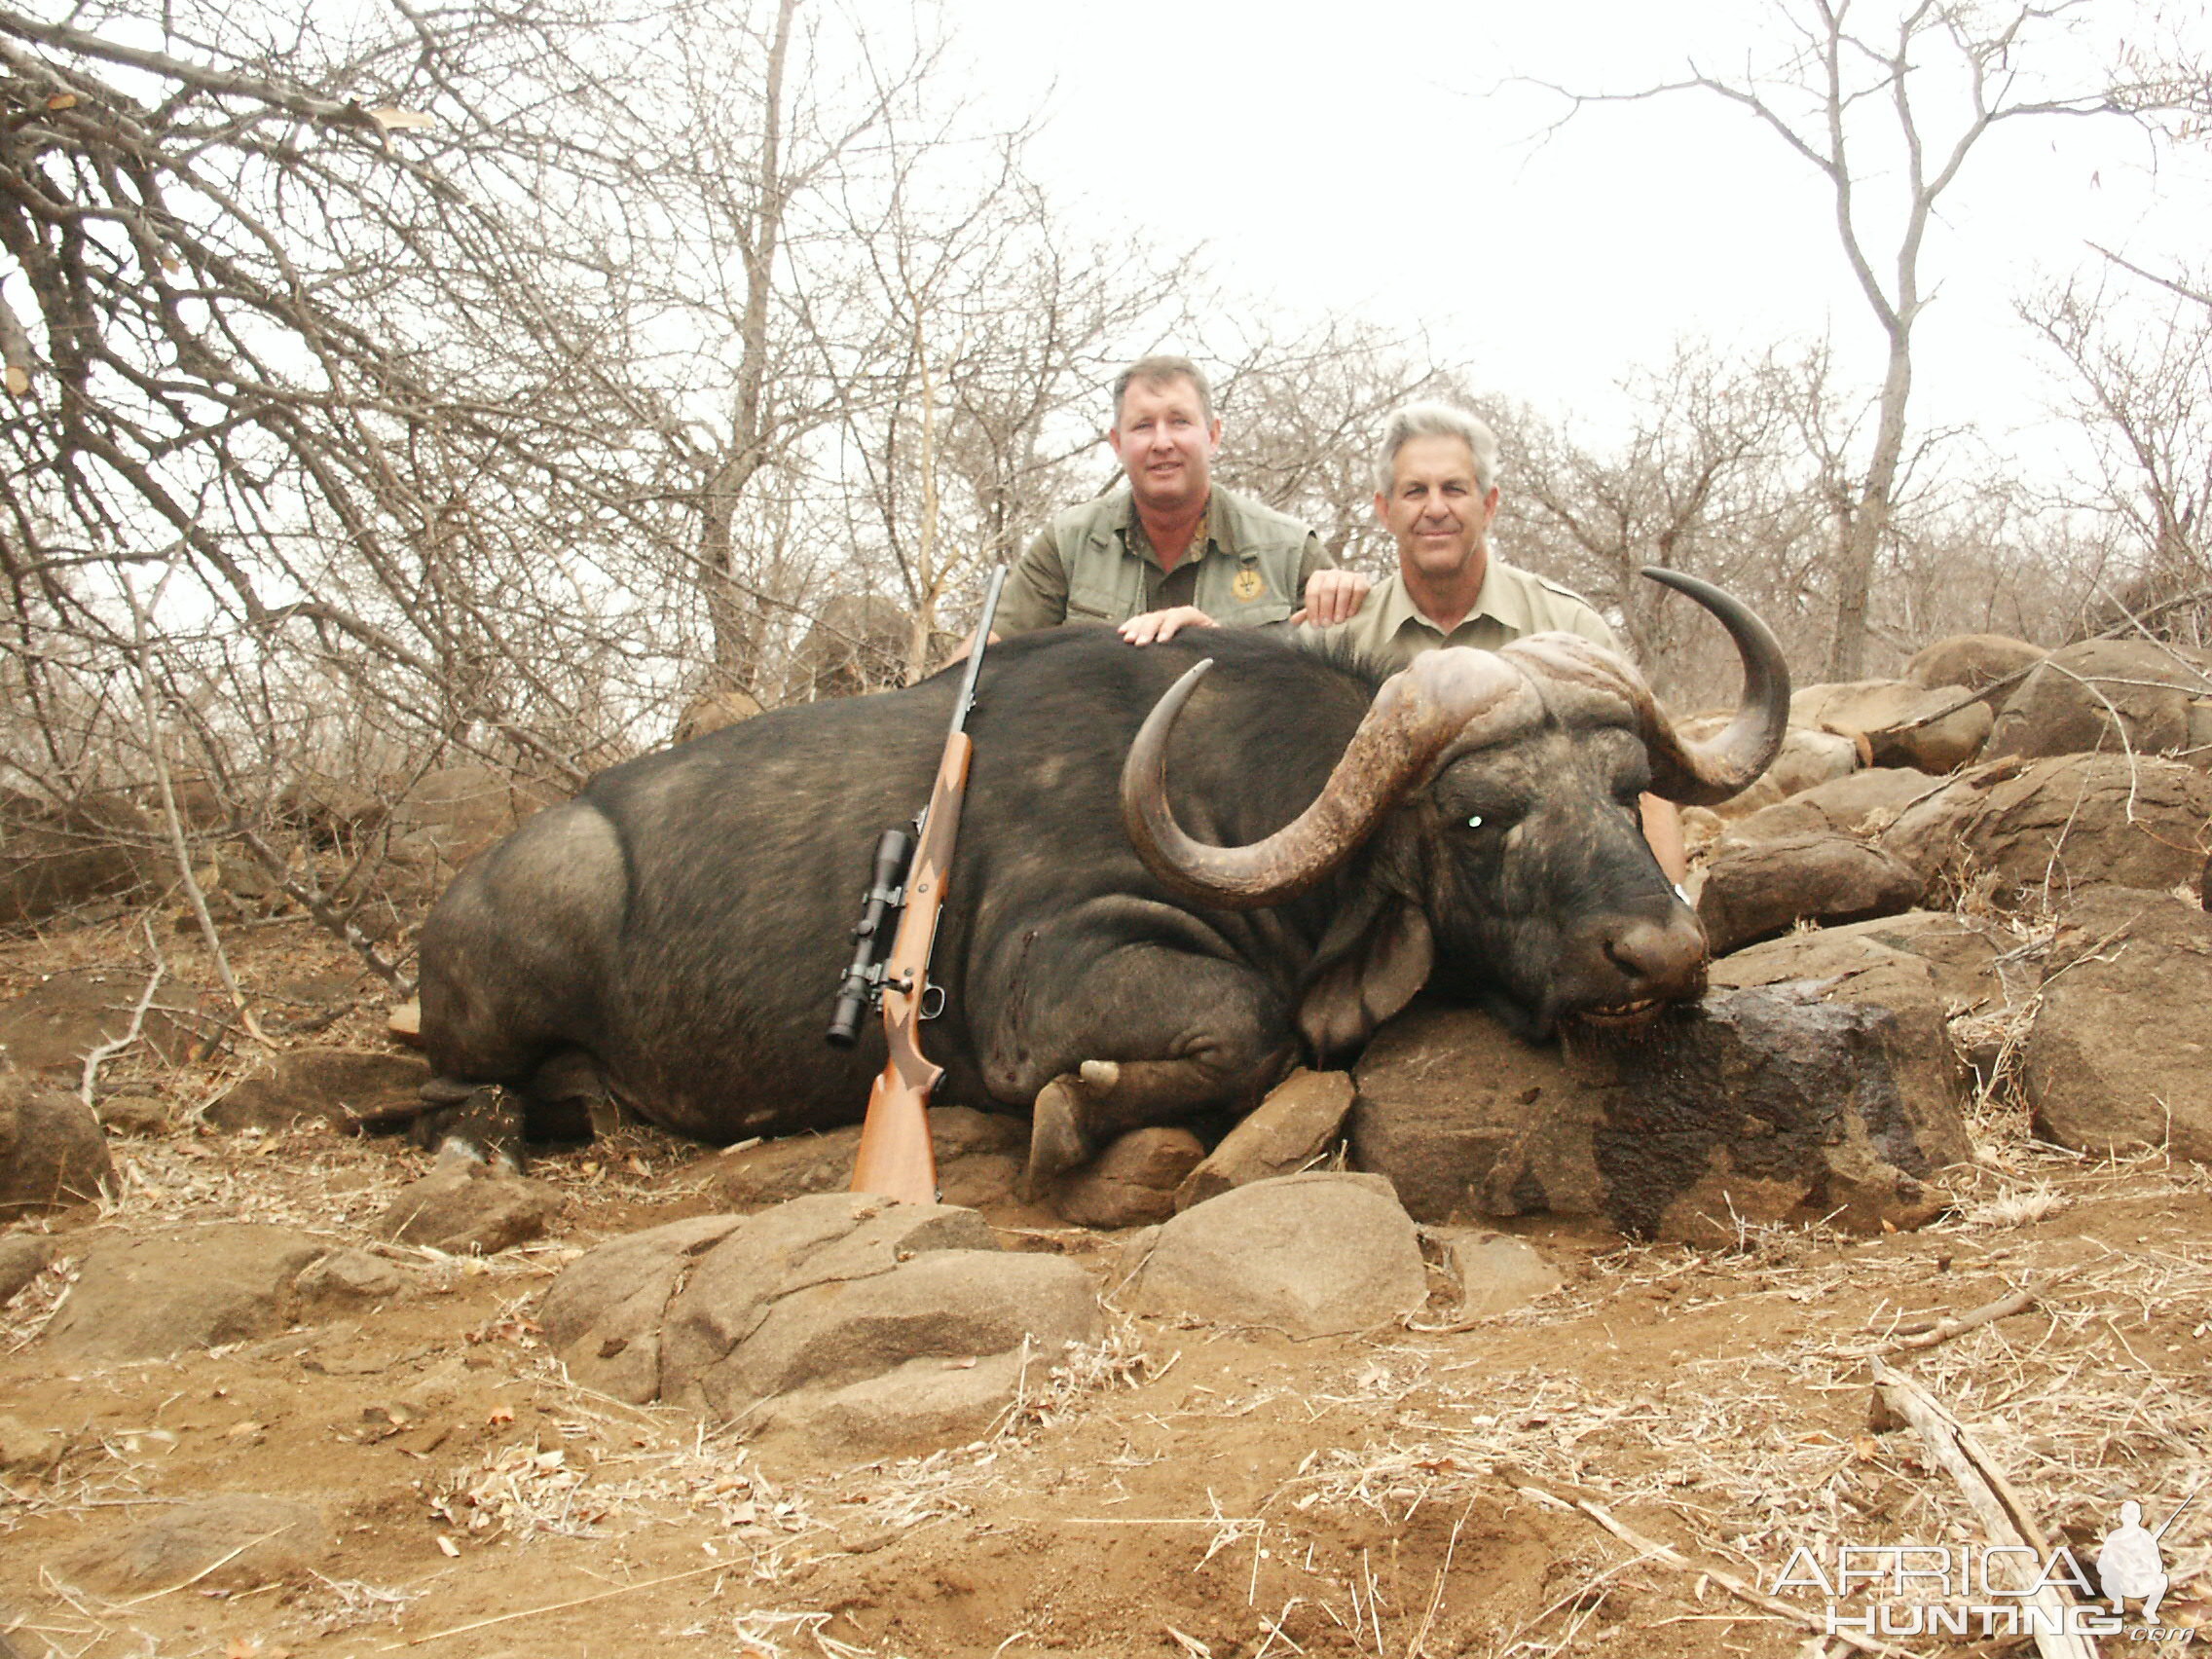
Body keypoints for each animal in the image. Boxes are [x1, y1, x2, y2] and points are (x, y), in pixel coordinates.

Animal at [416, 571, 1787, 1185]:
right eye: (1477, 816)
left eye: (1624, 787)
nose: (1659, 957)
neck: (1234, 796)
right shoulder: (1055, 975)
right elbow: (1250, 1027)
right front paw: (1077, 1109)